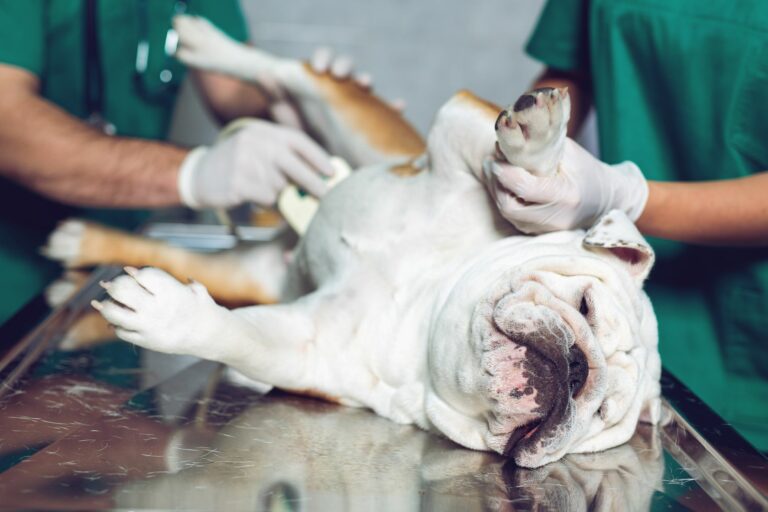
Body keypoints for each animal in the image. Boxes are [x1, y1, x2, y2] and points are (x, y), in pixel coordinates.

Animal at [46, 16, 660, 468]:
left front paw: (168, 316)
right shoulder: (455, 129)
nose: (578, 369)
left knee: (181, 255)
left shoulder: (307, 348)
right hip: (362, 126)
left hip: (251, 273)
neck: (430, 304)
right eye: (585, 305)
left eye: (601, 414)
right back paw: (207, 41)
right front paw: (541, 149)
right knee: (291, 72)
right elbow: (523, 164)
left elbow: (238, 334)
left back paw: (83, 241)